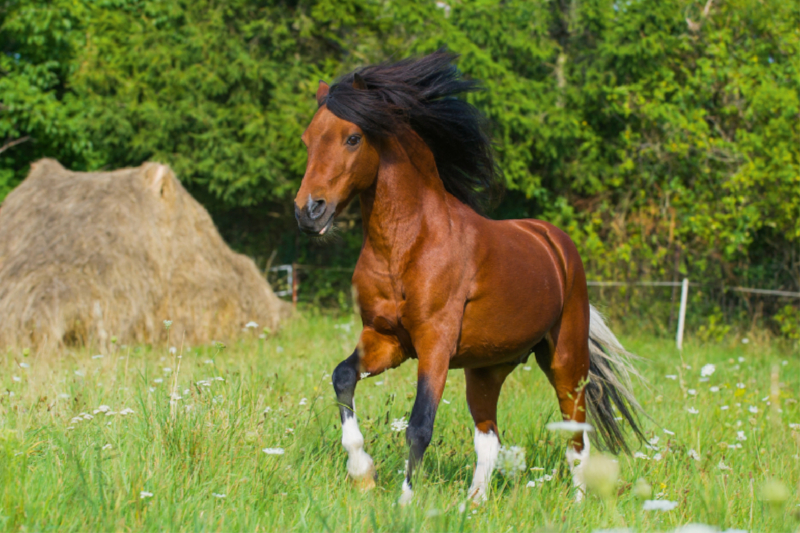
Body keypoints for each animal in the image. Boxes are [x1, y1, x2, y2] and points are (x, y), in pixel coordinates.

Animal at [292, 50, 644, 502]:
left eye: (352, 138)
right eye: (308, 139)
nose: (308, 212)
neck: (407, 245)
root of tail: (555, 243)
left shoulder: (435, 343)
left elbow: (420, 424)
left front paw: (404, 502)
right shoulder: (386, 340)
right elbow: (342, 376)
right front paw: (362, 472)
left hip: (566, 359)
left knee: (575, 435)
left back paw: (579, 502)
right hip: (487, 369)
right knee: (489, 438)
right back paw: (473, 504)